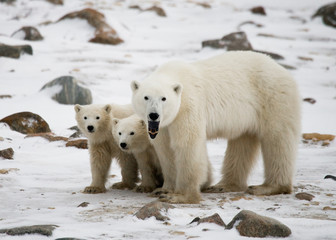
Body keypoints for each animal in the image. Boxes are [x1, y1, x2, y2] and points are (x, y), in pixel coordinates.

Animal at [130, 51, 300, 203]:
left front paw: (180, 196)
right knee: (242, 143)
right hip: (246, 115)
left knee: (277, 139)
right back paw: (224, 185)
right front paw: (164, 189)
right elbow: (166, 150)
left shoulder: (189, 106)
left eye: (164, 98)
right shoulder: (165, 126)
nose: (154, 115)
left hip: (273, 98)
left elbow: (187, 145)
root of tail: (282, 70)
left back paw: (269, 187)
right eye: (146, 97)